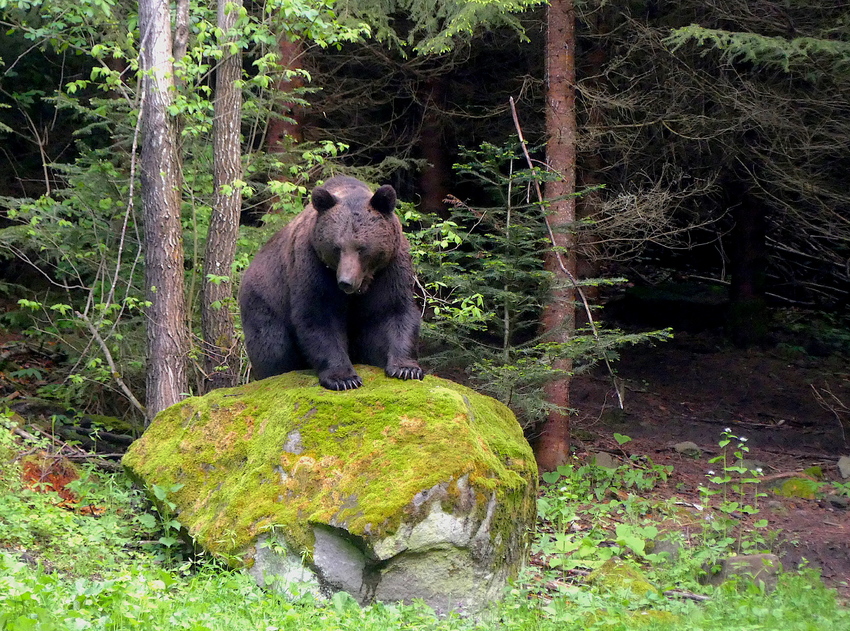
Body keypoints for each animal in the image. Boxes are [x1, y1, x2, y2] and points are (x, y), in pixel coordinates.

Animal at [237, 177, 422, 390]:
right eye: (337, 247)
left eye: (362, 248)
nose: (346, 282)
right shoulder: (313, 264)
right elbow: (319, 316)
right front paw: (344, 378)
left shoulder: (390, 267)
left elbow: (393, 310)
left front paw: (406, 368)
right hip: (265, 300)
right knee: (273, 346)